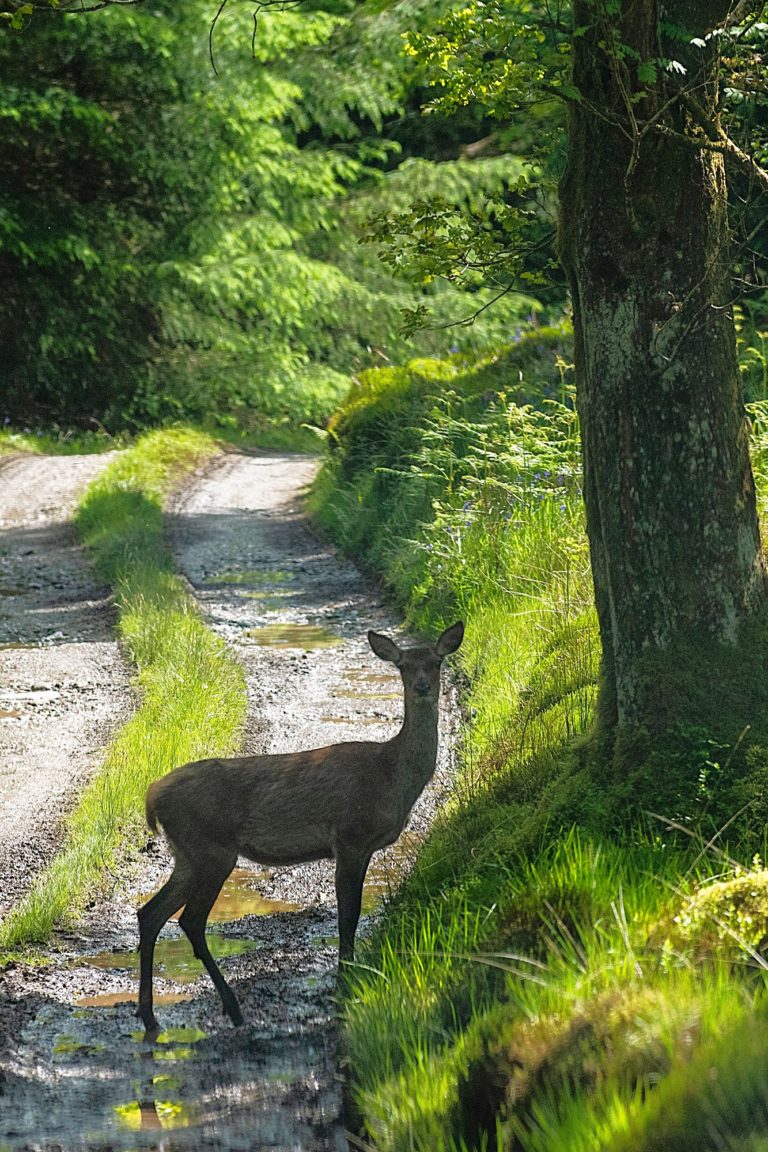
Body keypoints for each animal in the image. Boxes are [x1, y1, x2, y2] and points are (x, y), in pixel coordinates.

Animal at [136, 622, 462, 1036]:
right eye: (403, 665)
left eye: (436, 662)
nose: (421, 686)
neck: (390, 776)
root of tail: (152, 794)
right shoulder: (350, 836)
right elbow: (348, 915)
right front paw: (345, 983)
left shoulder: (361, 846)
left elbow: (351, 913)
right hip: (211, 847)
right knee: (190, 919)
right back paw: (231, 1007)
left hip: (187, 854)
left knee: (150, 914)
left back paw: (149, 1016)